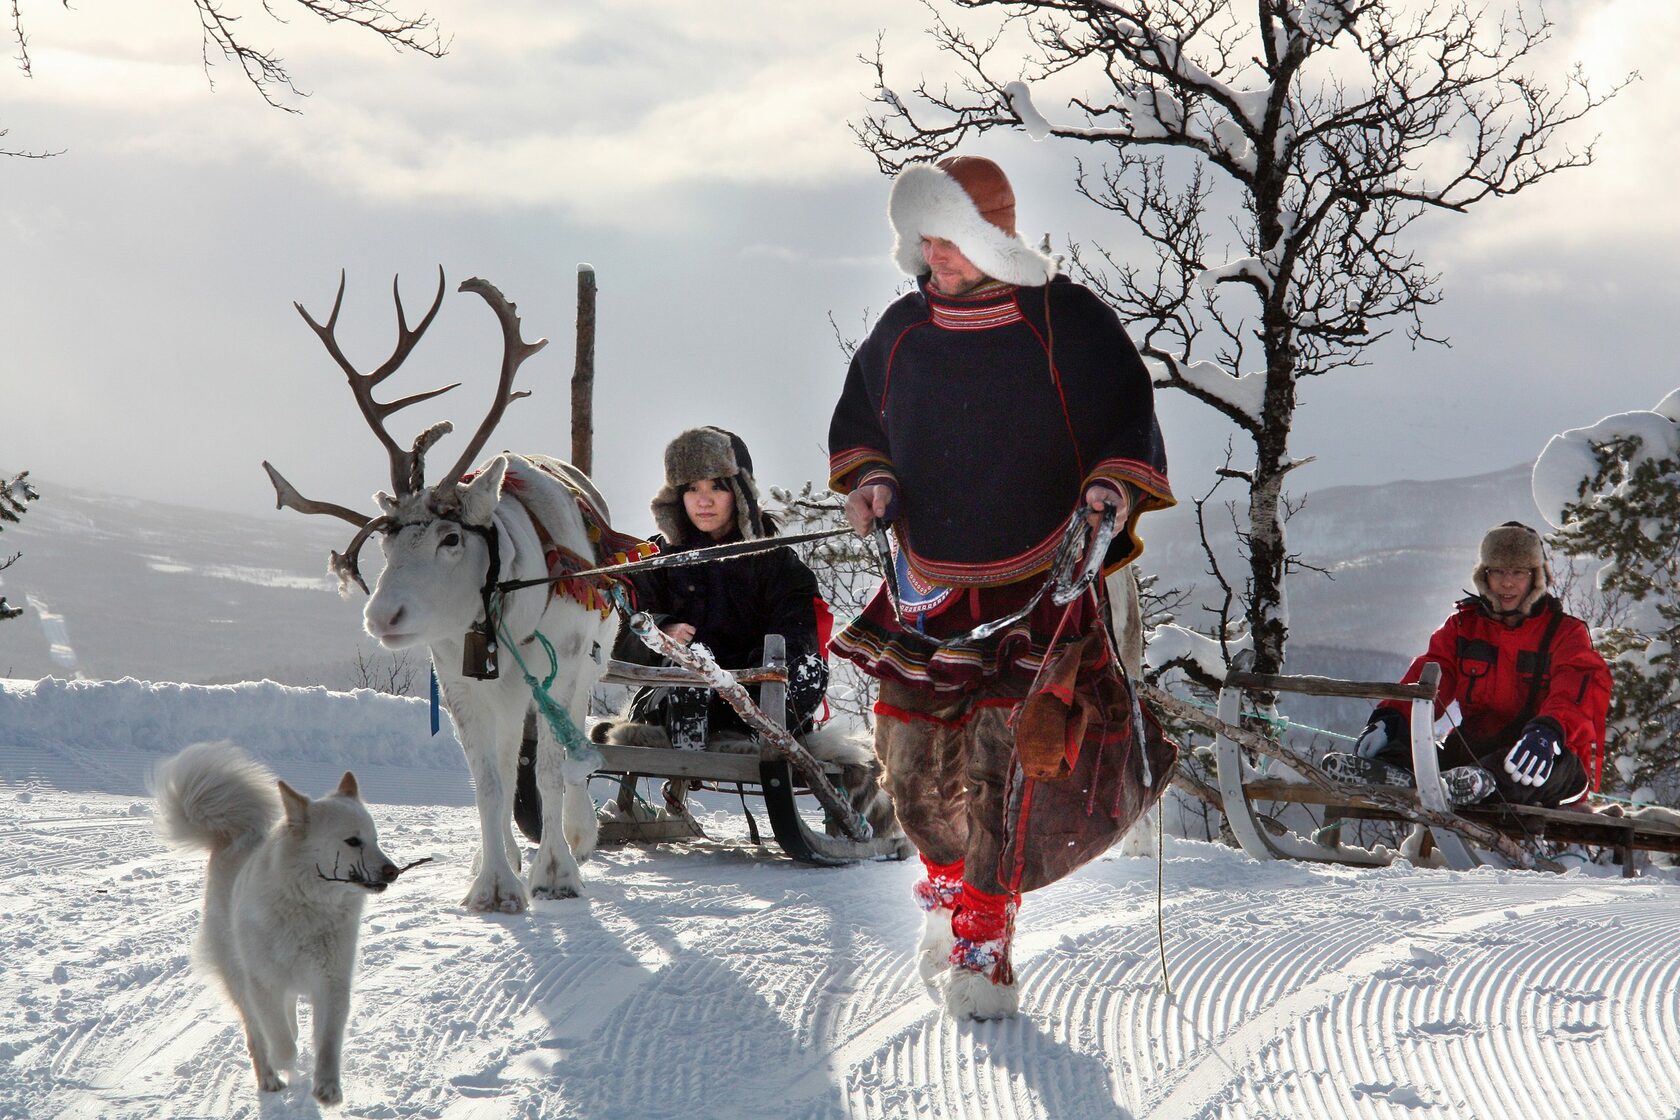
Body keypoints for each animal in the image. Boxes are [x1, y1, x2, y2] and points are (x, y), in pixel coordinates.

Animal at [157, 745, 406, 1101]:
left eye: (375, 839)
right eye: (353, 841)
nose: (393, 871)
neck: (309, 908)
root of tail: (230, 837)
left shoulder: (331, 984)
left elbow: (327, 1042)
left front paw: (327, 1086)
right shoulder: (264, 983)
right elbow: (281, 1041)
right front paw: (284, 1062)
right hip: (240, 981)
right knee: (256, 1034)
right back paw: (269, 1077)